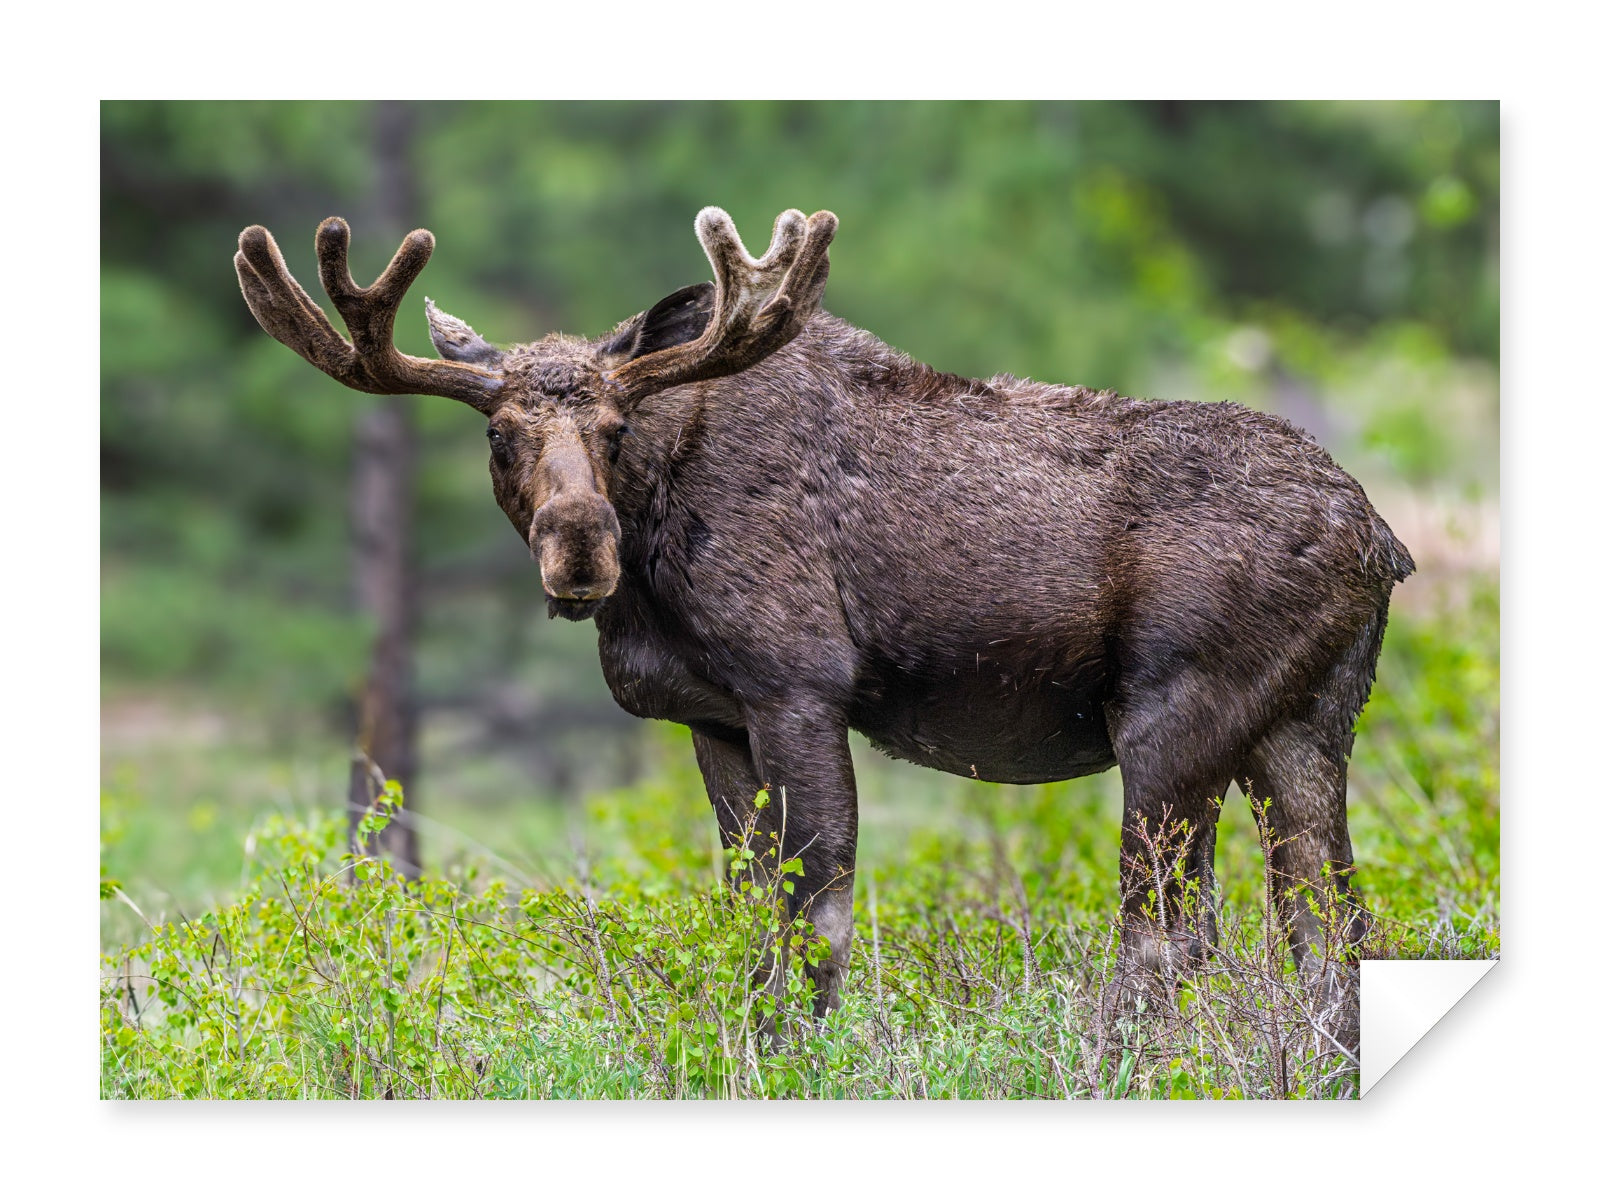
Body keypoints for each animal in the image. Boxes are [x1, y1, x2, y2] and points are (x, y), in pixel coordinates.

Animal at [235, 206, 1413, 1030]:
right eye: (497, 437)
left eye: (615, 428)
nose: (578, 548)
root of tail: (1381, 539)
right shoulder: (710, 718)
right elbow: (747, 915)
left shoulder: (798, 687)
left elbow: (818, 923)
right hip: (1304, 727)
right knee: (1329, 934)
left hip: (1173, 717)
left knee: (1169, 936)